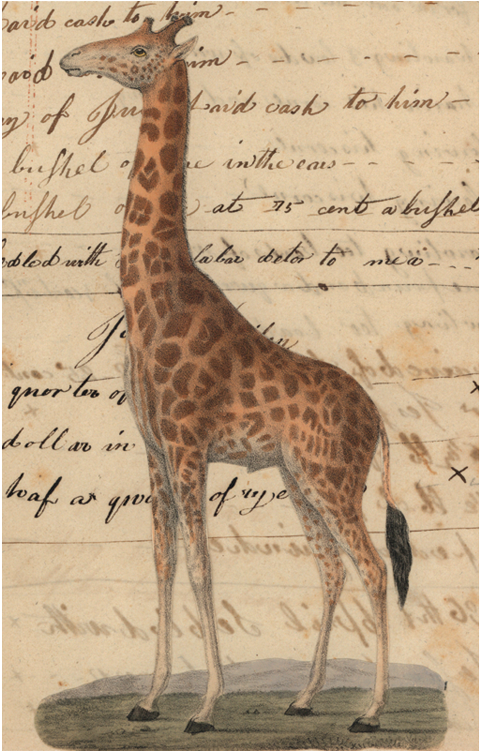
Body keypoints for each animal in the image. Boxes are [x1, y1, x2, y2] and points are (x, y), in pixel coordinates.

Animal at [60, 16, 412, 735]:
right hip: (300, 478)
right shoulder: (154, 448)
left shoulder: (188, 444)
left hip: (332, 480)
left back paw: (369, 711)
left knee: (371, 568)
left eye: (139, 48)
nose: (72, 58)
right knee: (331, 568)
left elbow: (202, 566)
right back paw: (304, 697)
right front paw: (149, 698)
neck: (149, 295)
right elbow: (164, 563)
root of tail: (379, 418)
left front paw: (205, 705)